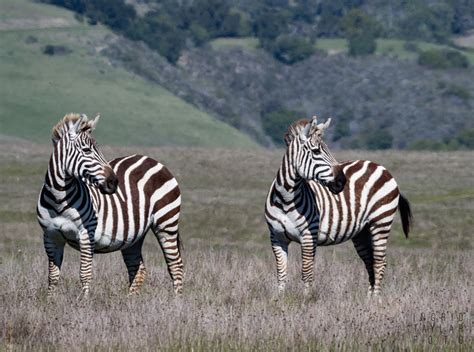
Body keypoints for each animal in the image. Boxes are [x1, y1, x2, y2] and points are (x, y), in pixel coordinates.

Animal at [36, 113, 183, 296]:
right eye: (87, 150)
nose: (114, 182)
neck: (59, 200)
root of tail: (151, 160)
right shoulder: (50, 236)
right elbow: (53, 275)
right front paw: (50, 300)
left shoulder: (86, 234)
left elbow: (85, 273)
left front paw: (84, 301)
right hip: (134, 236)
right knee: (138, 268)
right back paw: (129, 300)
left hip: (166, 223)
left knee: (175, 265)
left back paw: (177, 300)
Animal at [264, 117, 412, 296]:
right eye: (316, 152)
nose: (342, 181)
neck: (285, 198)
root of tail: (381, 167)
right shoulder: (276, 237)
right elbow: (281, 272)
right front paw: (279, 299)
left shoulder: (308, 236)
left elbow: (306, 272)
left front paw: (306, 299)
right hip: (362, 232)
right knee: (370, 262)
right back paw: (368, 299)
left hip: (381, 222)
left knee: (379, 262)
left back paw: (376, 299)